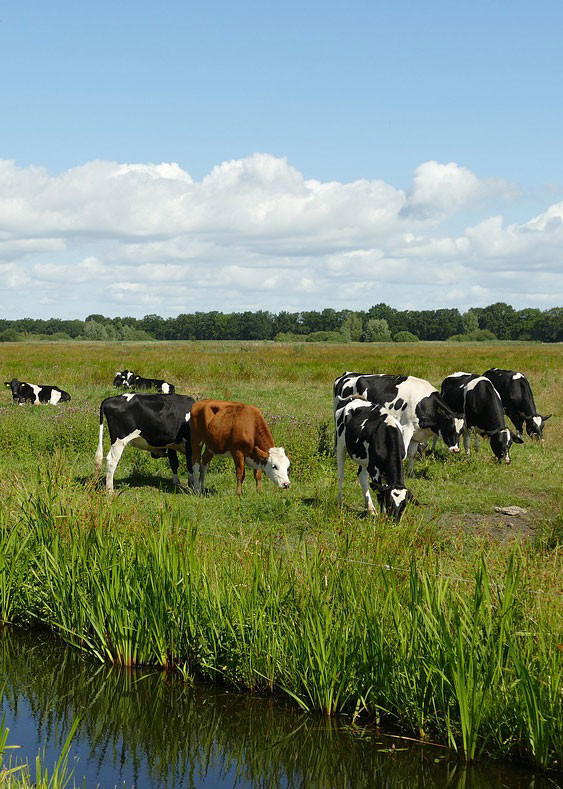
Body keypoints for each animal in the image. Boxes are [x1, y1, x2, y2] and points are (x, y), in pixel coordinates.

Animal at [334, 370, 462, 474]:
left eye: (460, 432)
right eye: (450, 428)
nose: (456, 450)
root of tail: (347, 375)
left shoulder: (416, 434)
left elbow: (412, 453)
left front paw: (411, 473)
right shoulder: (406, 428)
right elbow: (403, 453)